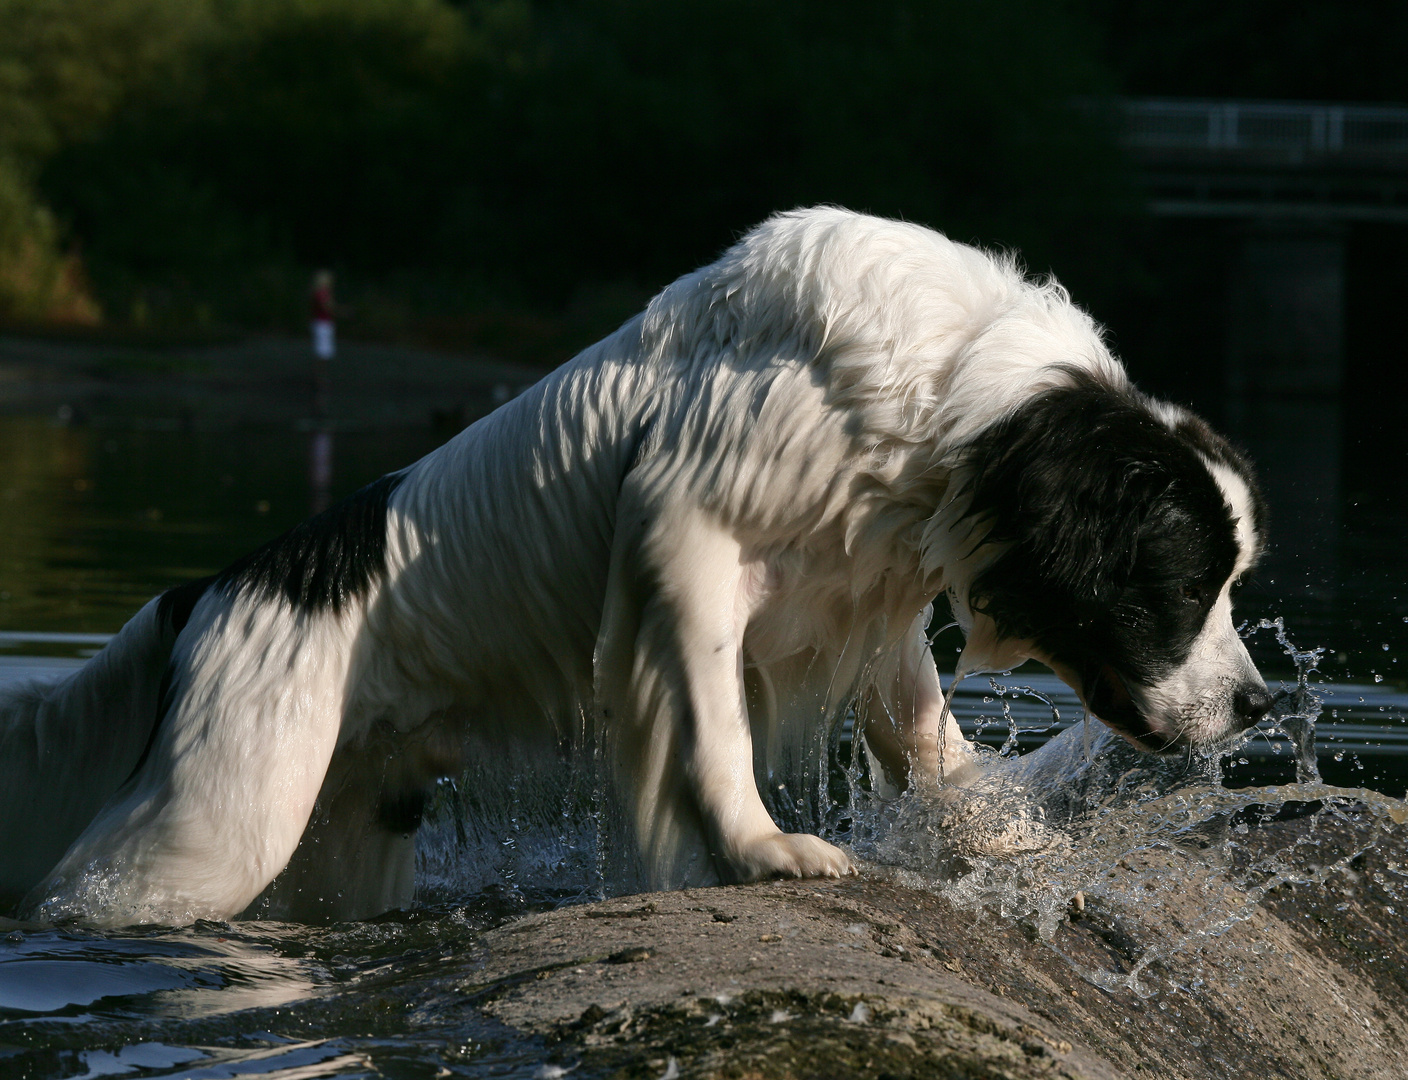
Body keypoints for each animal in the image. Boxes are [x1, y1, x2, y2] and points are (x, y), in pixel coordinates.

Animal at [0, 206, 1272, 923]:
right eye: (1182, 584)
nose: (1259, 707)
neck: (953, 393)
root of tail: (209, 588)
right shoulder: (684, 536)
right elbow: (711, 722)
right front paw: (762, 853)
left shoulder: (871, 597)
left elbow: (927, 737)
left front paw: (1010, 845)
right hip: (226, 811)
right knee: (100, 891)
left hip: (351, 818)